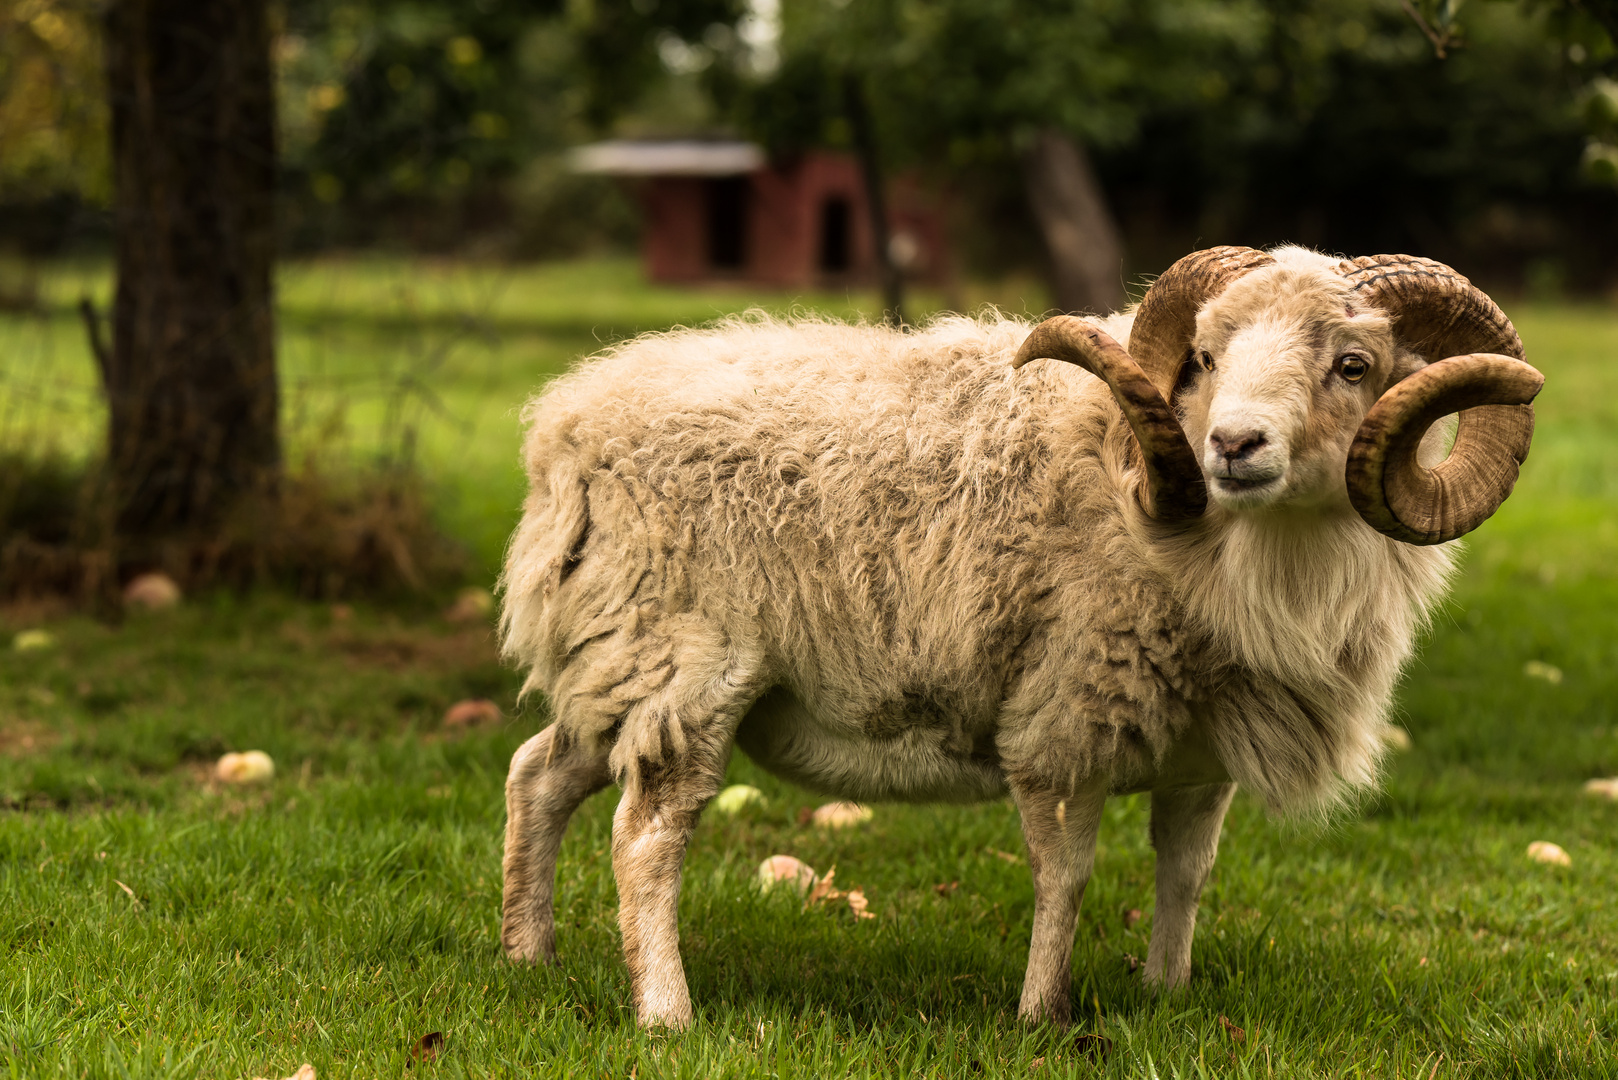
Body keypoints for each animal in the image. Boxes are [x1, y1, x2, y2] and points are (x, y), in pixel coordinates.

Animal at [491, 244, 1540, 1029]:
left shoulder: (1202, 746)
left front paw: (1167, 993)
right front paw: (1042, 1014)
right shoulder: (1066, 714)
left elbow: (1186, 873)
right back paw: (667, 1015)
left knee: (538, 773)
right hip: (683, 663)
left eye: (1353, 366)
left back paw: (528, 957)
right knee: (647, 834)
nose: (1232, 446)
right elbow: (1065, 876)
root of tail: (562, 428)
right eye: (1203, 359)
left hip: (613, 657)